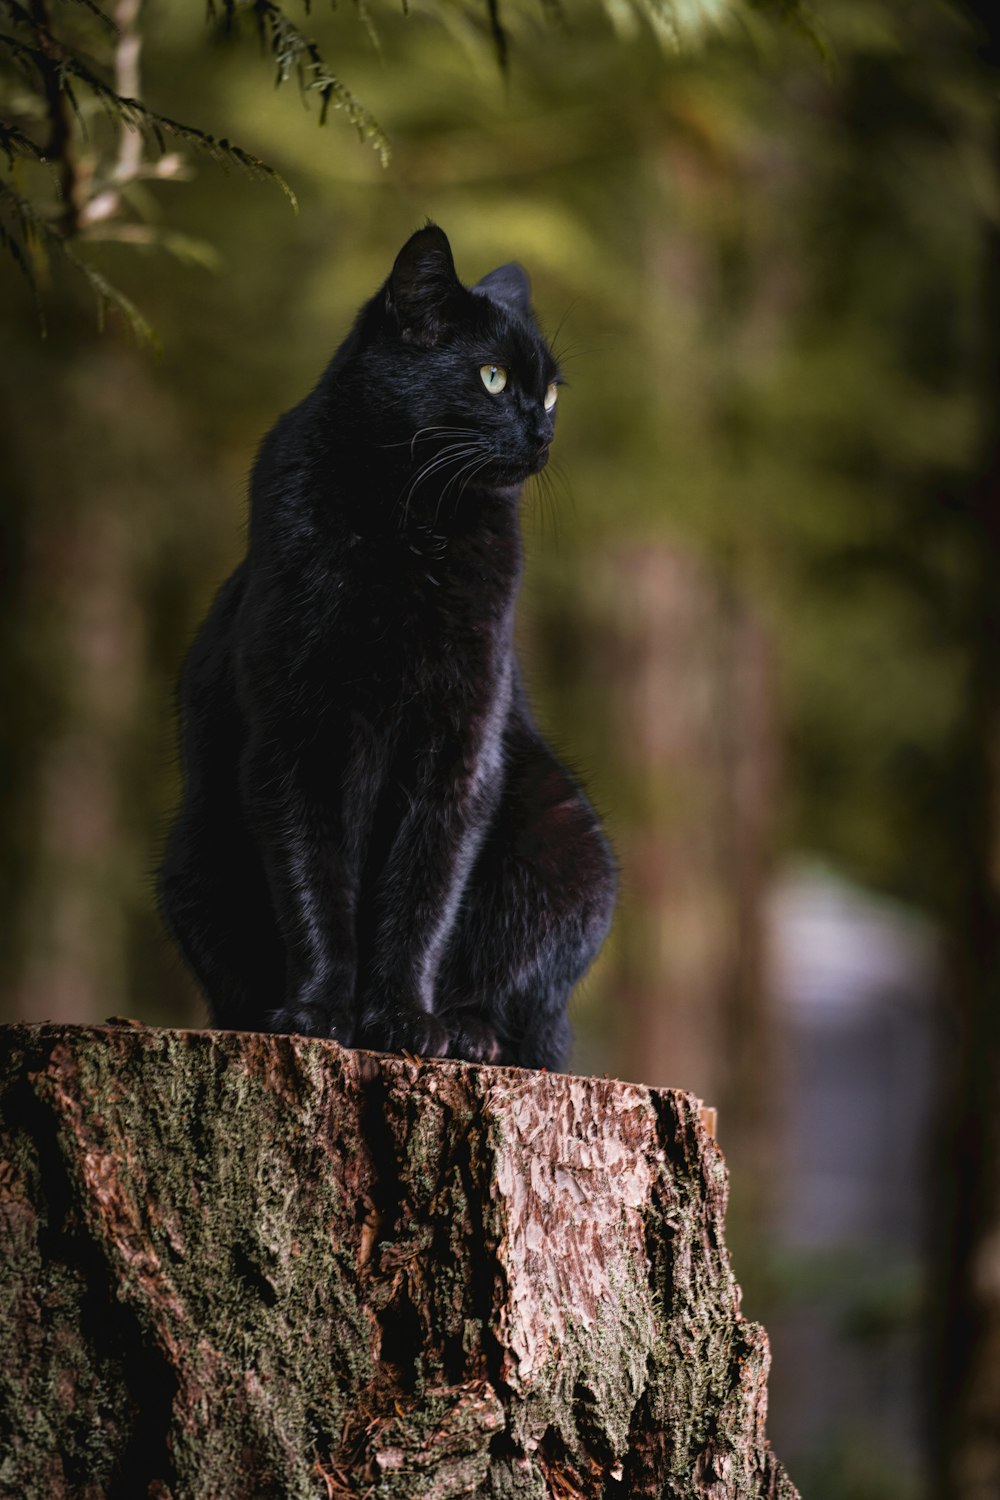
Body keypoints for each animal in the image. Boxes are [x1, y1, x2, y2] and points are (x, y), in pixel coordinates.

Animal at [159, 225, 614, 1068]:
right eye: (494, 379)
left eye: (552, 392)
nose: (544, 433)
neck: (416, 523)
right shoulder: (293, 739)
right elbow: (315, 881)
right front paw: (319, 1012)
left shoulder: (458, 751)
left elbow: (423, 894)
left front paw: (405, 1020)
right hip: (190, 856)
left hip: (572, 847)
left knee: (521, 1005)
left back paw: (468, 1032)